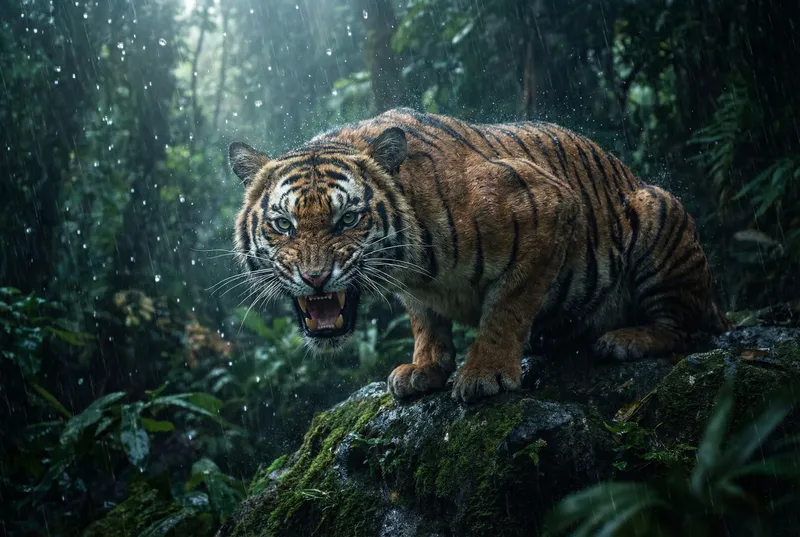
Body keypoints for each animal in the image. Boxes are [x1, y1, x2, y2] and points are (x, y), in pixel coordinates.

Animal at [229, 108, 728, 403]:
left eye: (347, 220)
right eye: (283, 225)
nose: (315, 278)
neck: (412, 264)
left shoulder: (550, 207)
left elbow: (506, 308)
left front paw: (484, 373)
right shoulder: (417, 290)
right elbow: (426, 321)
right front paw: (425, 368)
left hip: (658, 210)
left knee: (682, 330)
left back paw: (626, 339)